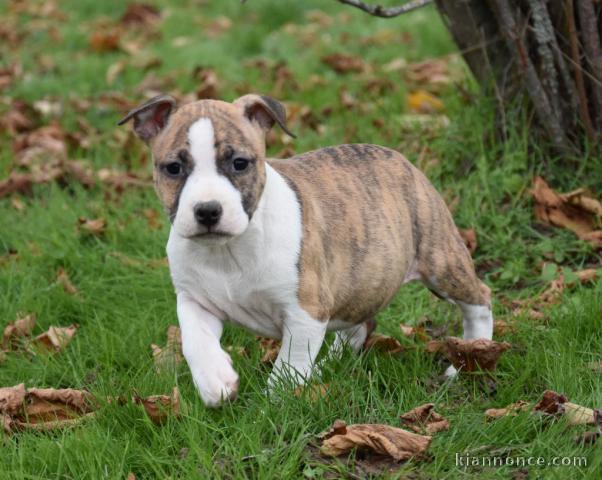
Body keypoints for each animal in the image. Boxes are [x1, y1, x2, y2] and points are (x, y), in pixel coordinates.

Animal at [118, 93, 492, 404]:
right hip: (362, 280)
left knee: (479, 300)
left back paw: (470, 359)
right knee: (359, 324)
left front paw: (275, 400)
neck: (229, 250)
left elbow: (291, 360)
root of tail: (398, 156)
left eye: (239, 163)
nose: (208, 210)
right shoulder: (194, 298)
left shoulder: (305, 310)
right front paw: (215, 381)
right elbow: (194, 339)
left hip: (440, 261)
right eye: (173, 168)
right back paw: (331, 363)